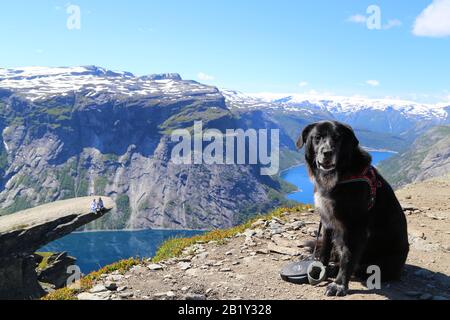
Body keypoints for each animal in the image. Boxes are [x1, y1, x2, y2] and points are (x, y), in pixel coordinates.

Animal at [298, 121, 410, 296]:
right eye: (317, 137)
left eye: (337, 138)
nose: (327, 153)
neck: (340, 176)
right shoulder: (327, 222)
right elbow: (325, 250)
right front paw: (320, 269)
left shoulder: (356, 228)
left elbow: (348, 259)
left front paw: (339, 284)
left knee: (358, 268)